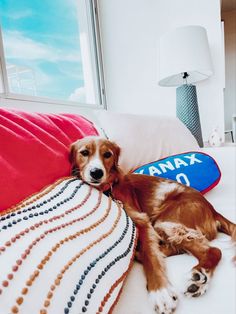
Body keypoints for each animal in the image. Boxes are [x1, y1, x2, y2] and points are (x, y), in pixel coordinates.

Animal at [70, 136, 236, 312]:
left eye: (107, 154)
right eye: (84, 152)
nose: (96, 172)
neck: (109, 188)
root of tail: (212, 209)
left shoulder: (142, 220)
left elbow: (150, 256)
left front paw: (161, 293)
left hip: (166, 222)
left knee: (214, 250)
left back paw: (198, 277)